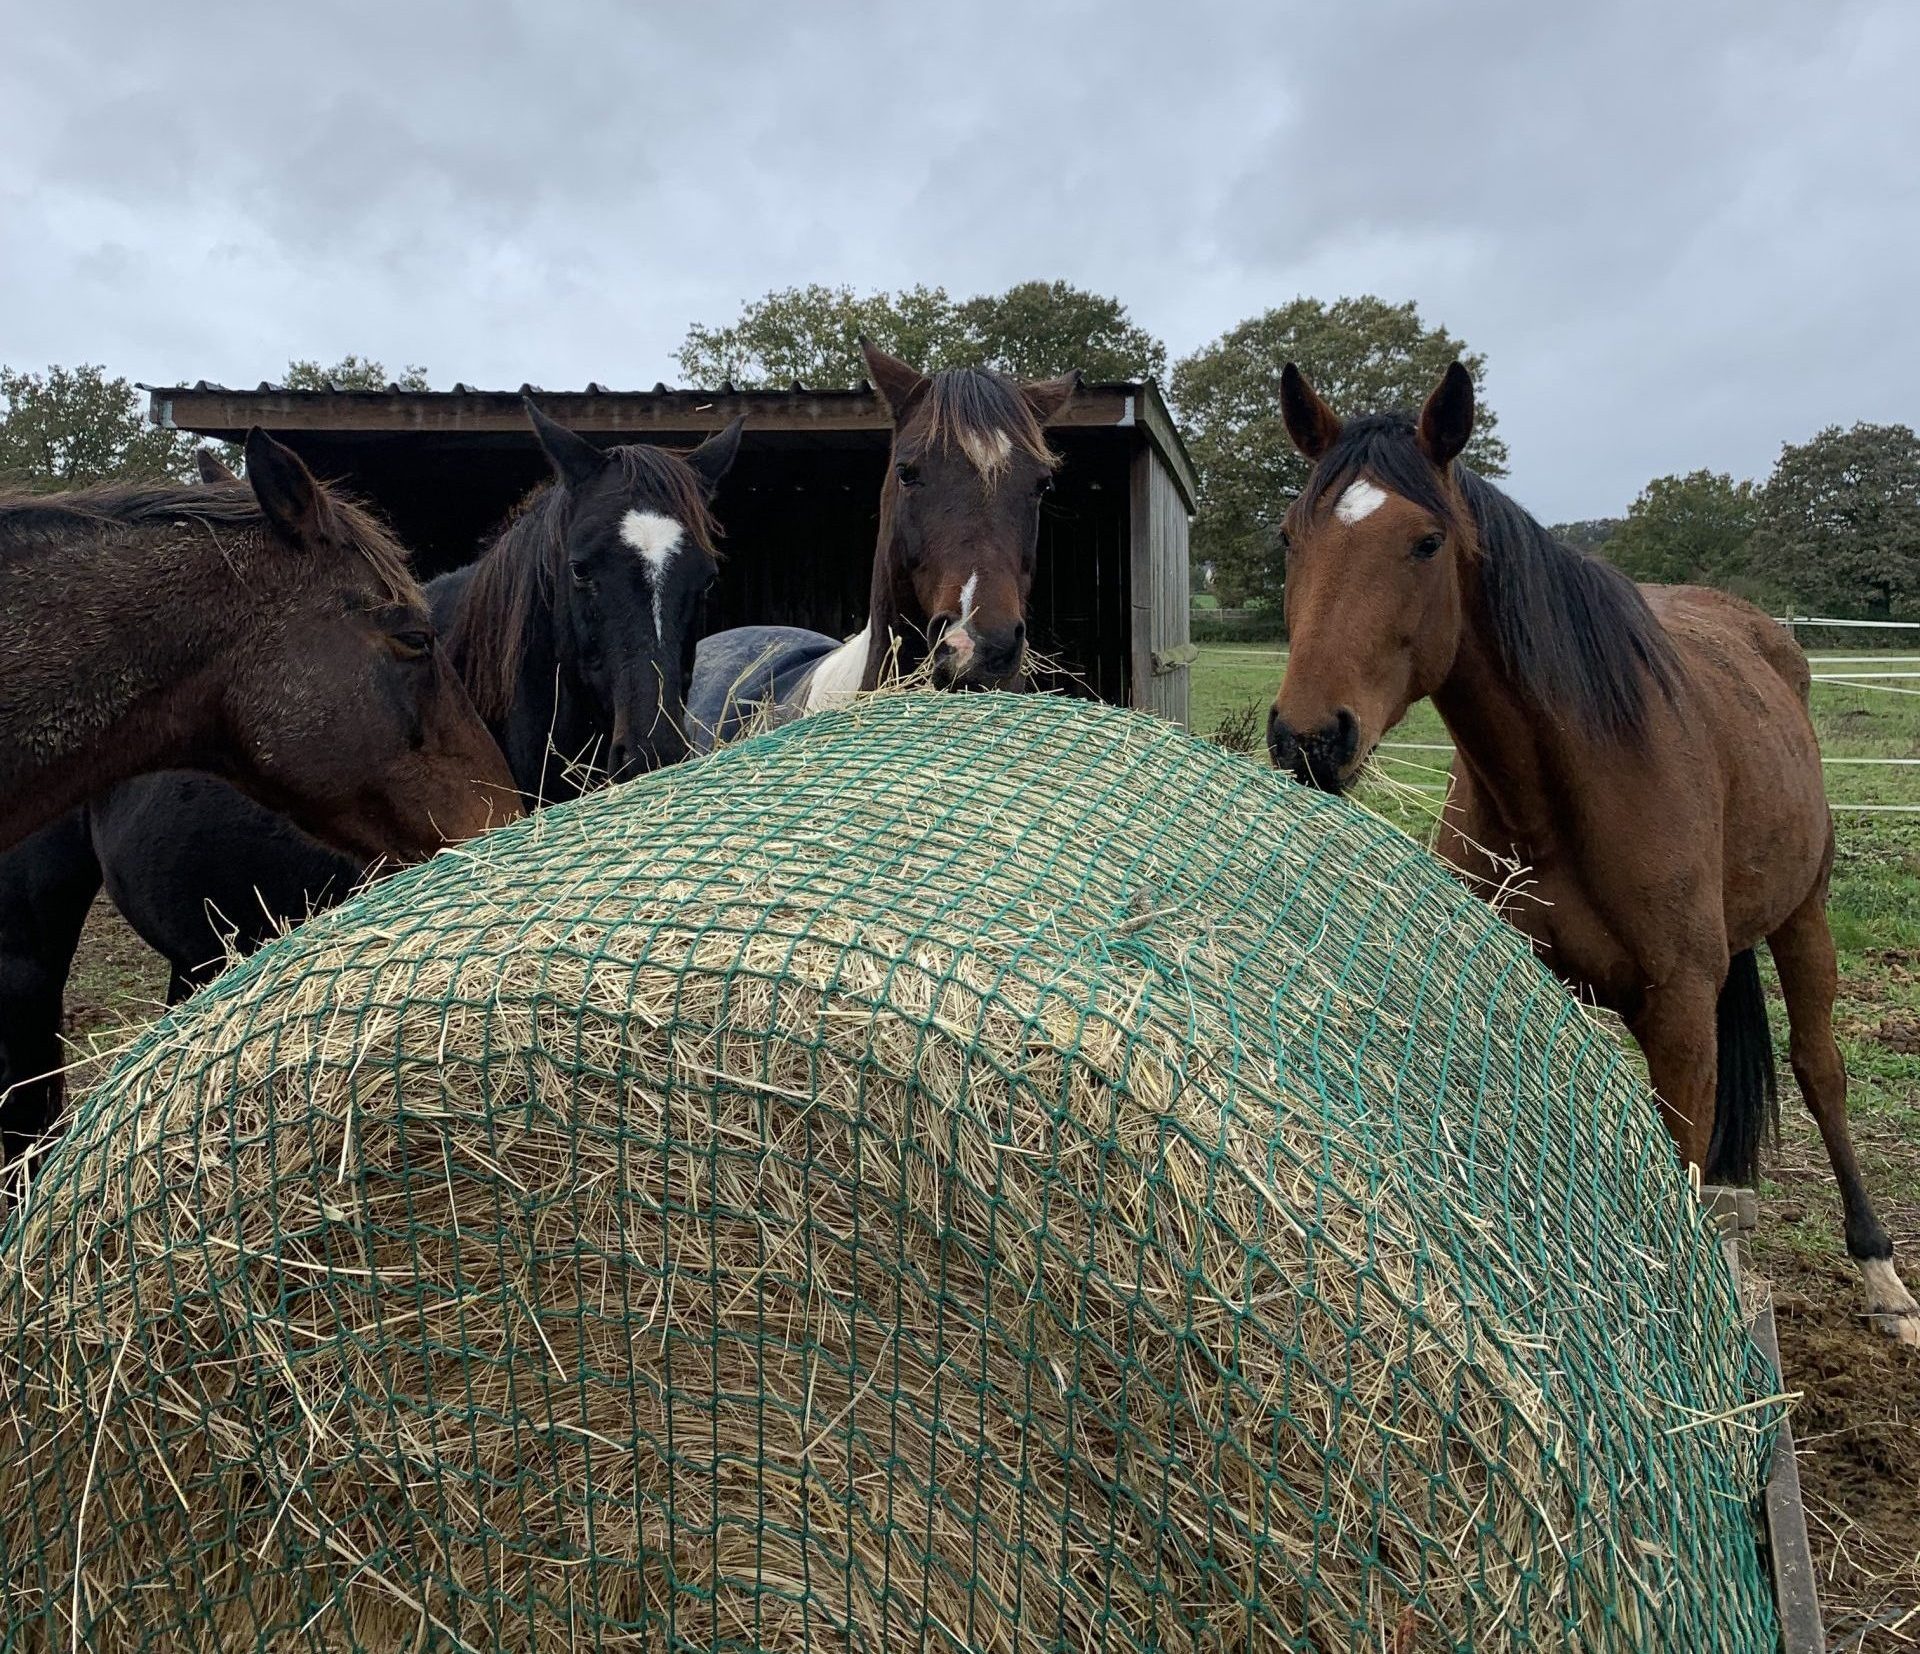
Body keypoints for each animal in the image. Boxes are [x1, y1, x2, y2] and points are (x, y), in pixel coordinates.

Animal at [1265, 361, 1919, 1345]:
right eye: (1290, 537)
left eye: (1425, 542)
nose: (1309, 740)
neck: (1564, 793)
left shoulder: (1679, 1012)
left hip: (1805, 918)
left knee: (1822, 1073)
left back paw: (1880, 1270)